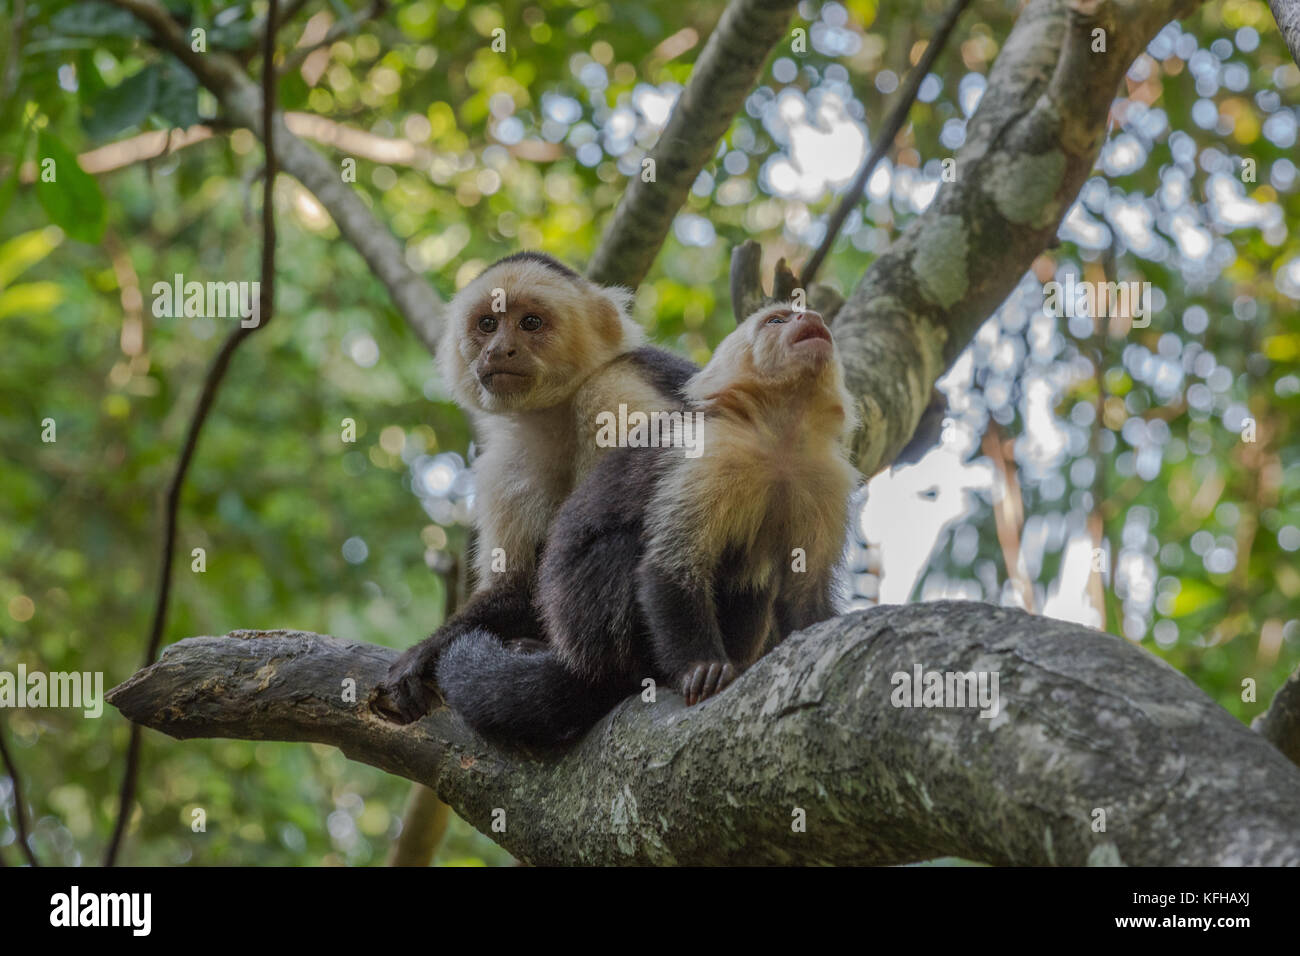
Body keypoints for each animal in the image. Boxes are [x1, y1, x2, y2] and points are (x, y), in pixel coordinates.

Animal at [371, 251, 696, 723]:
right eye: (488, 323)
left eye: (530, 323)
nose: (497, 350)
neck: (558, 410)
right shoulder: (506, 461)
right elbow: (519, 583)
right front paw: (431, 649)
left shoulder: (617, 390)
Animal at [436, 304, 863, 749]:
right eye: (777, 321)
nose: (812, 318)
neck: (779, 438)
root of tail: (575, 658)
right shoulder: (710, 450)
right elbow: (669, 568)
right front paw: (701, 668)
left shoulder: (827, 476)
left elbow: (805, 593)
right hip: (585, 629)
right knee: (621, 551)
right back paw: (631, 676)